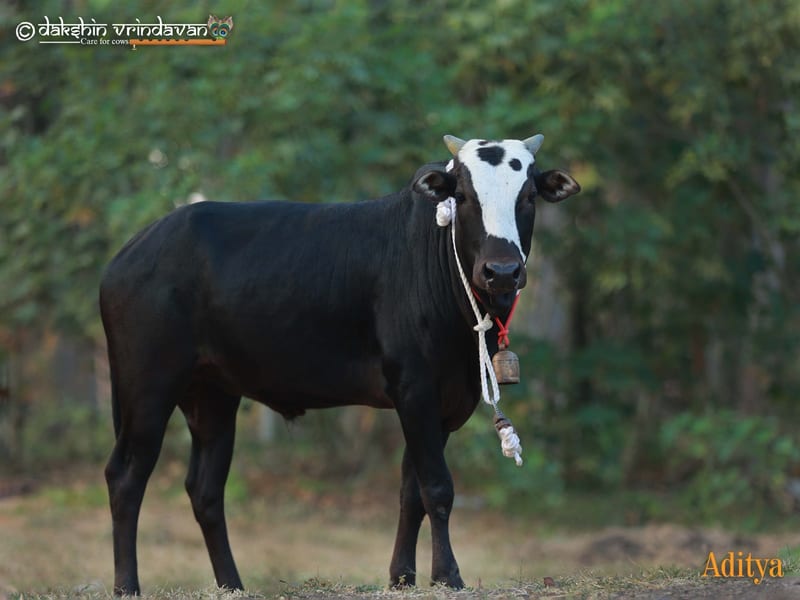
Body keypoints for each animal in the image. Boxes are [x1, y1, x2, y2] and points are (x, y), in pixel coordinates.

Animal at [100, 134, 580, 595]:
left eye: (528, 196)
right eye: (461, 195)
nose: (502, 271)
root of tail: (130, 251)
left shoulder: (442, 402)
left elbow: (412, 491)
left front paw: (402, 576)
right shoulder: (415, 387)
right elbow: (438, 487)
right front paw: (448, 575)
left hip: (213, 395)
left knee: (205, 489)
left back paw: (232, 585)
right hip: (147, 386)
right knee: (126, 476)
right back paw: (127, 586)